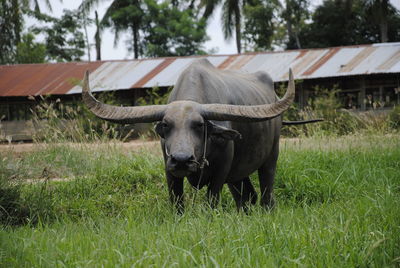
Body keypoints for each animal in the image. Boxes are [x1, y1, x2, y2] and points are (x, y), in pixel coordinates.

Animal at [83, 58, 296, 211]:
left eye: (200, 125)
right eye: (166, 125)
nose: (182, 160)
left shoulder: (222, 168)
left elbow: (211, 199)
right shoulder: (168, 167)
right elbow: (176, 200)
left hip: (271, 155)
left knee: (266, 192)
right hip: (238, 172)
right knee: (247, 197)